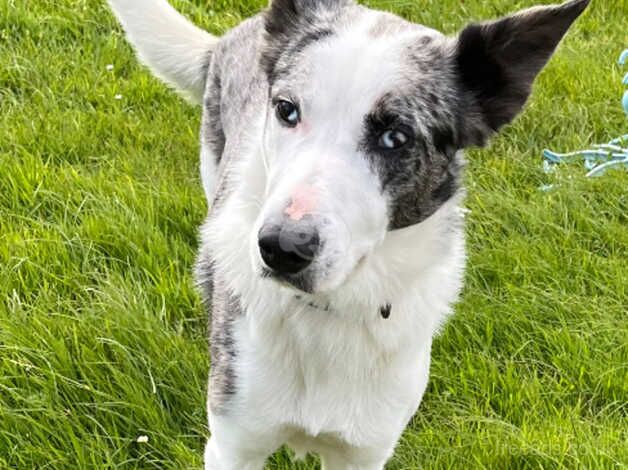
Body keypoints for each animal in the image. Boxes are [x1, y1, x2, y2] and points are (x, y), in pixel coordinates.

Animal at [106, 0, 588, 466]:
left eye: (395, 137)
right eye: (286, 110)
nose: (281, 248)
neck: (328, 308)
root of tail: (241, 30)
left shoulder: (365, 452)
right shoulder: (233, 445)